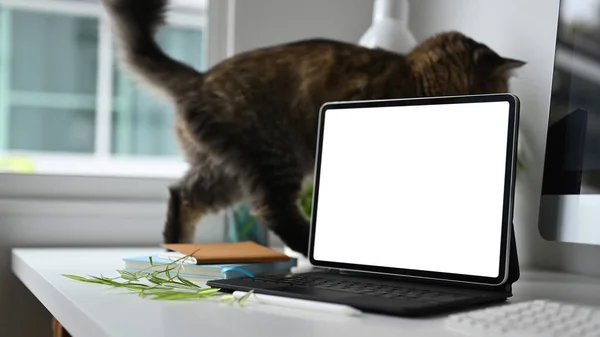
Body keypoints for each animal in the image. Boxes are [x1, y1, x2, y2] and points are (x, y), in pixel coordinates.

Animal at [101, 0, 524, 255]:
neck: (417, 77)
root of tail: (198, 78)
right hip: (273, 155)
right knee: (272, 210)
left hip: (226, 170)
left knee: (182, 194)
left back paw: (178, 247)